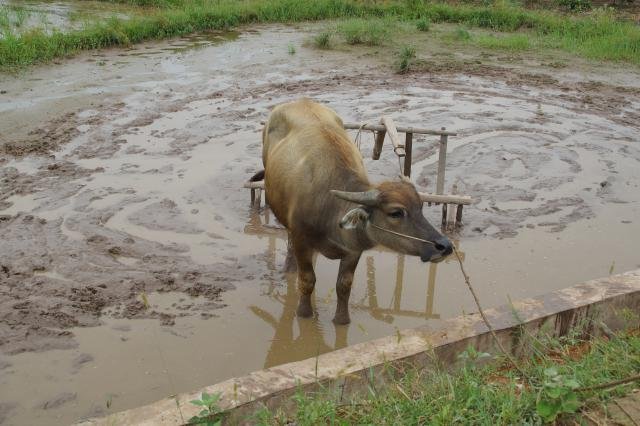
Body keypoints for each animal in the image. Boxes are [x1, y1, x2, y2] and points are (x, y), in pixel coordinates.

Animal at [258, 100, 452, 324]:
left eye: (420, 207)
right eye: (396, 213)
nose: (445, 246)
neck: (329, 209)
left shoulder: (353, 250)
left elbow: (344, 284)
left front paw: (342, 320)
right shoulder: (301, 240)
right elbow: (307, 280)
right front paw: (304, 313)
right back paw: (290, 268)